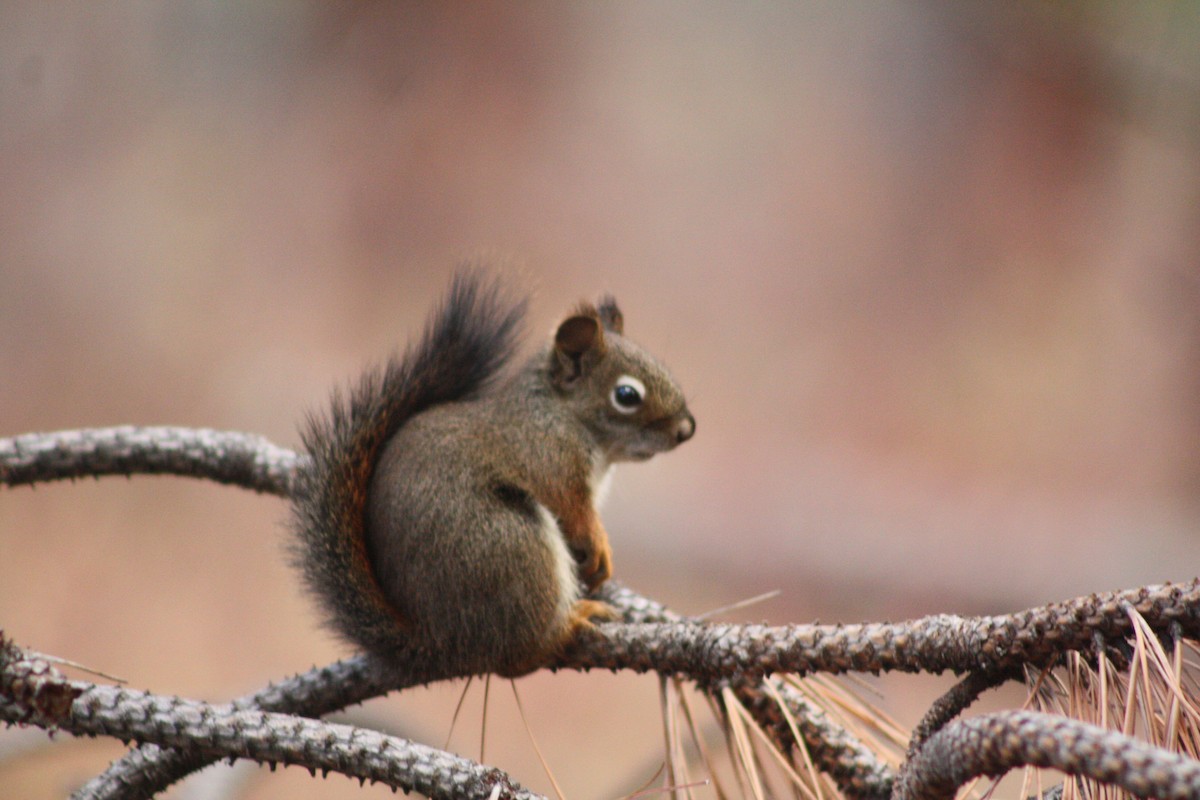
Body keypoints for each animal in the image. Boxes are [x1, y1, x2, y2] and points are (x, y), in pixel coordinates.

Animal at [290, 270, 695, 679]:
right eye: (626, 395)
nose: (687, 430)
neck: (562, 412)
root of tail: (441, 643)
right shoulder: (547, 455)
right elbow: (572, 507)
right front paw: (599, 544)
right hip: (512, 546)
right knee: (521, 655)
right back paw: (571, 621)